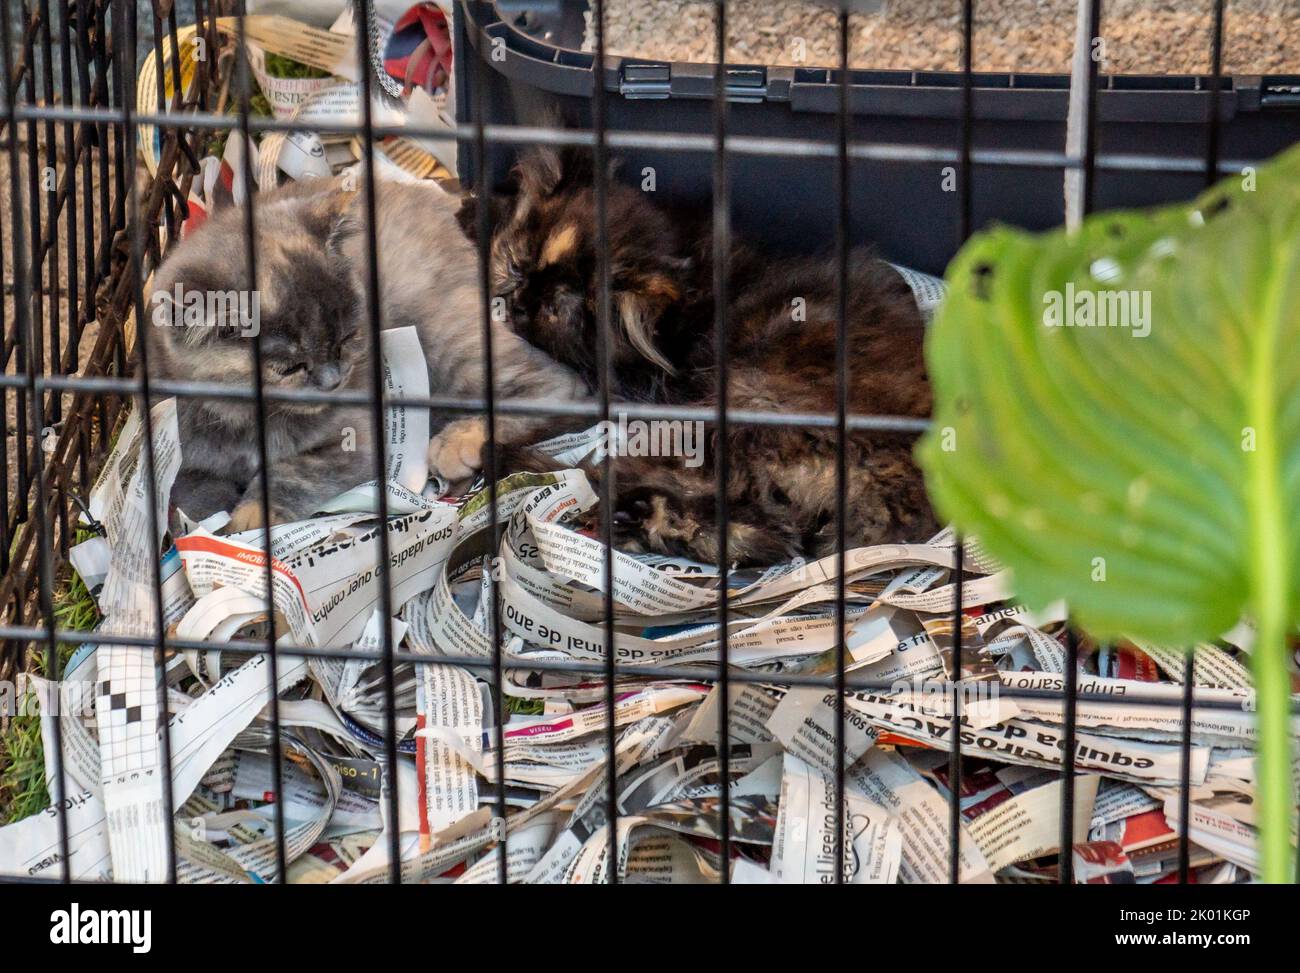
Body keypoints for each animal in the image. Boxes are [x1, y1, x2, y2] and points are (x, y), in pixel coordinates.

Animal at [144, 170, 587, 528]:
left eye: (347, 338)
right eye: (289, 367)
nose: (333, 381)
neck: (250, 418)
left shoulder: (358, 435)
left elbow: (297, 471)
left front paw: (254, 518)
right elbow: (186, 493)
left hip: (444, 338)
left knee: (565, 387)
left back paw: (459, 441)